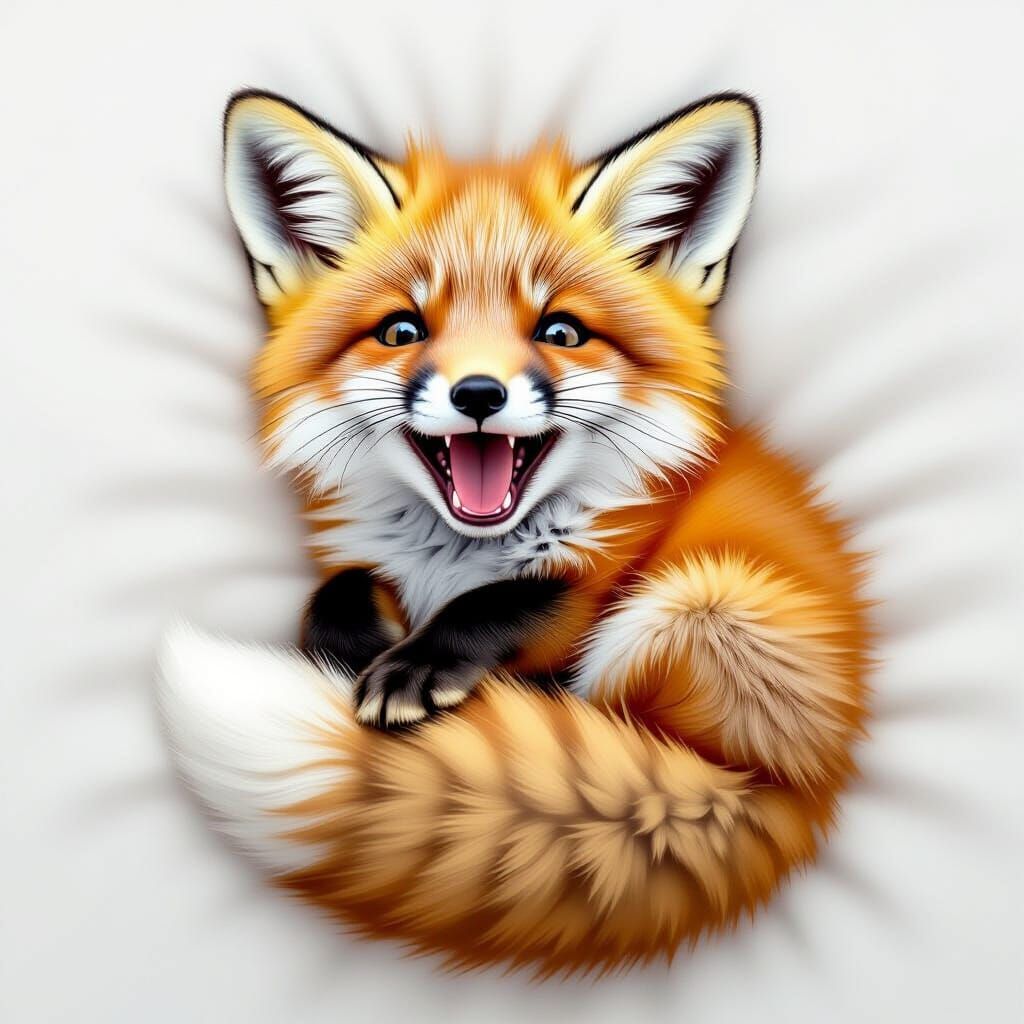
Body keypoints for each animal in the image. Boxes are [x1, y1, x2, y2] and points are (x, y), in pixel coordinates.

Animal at [158, 88, 871, 975]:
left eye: (560, 331)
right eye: (401, 331)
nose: (478, 393)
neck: (454, 556)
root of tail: (798, 792)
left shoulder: (597, 577)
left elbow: (509, 601)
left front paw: (417, 665)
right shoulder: (363, 564)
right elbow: (335, 589)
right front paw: (353, 647)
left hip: (701, 603)